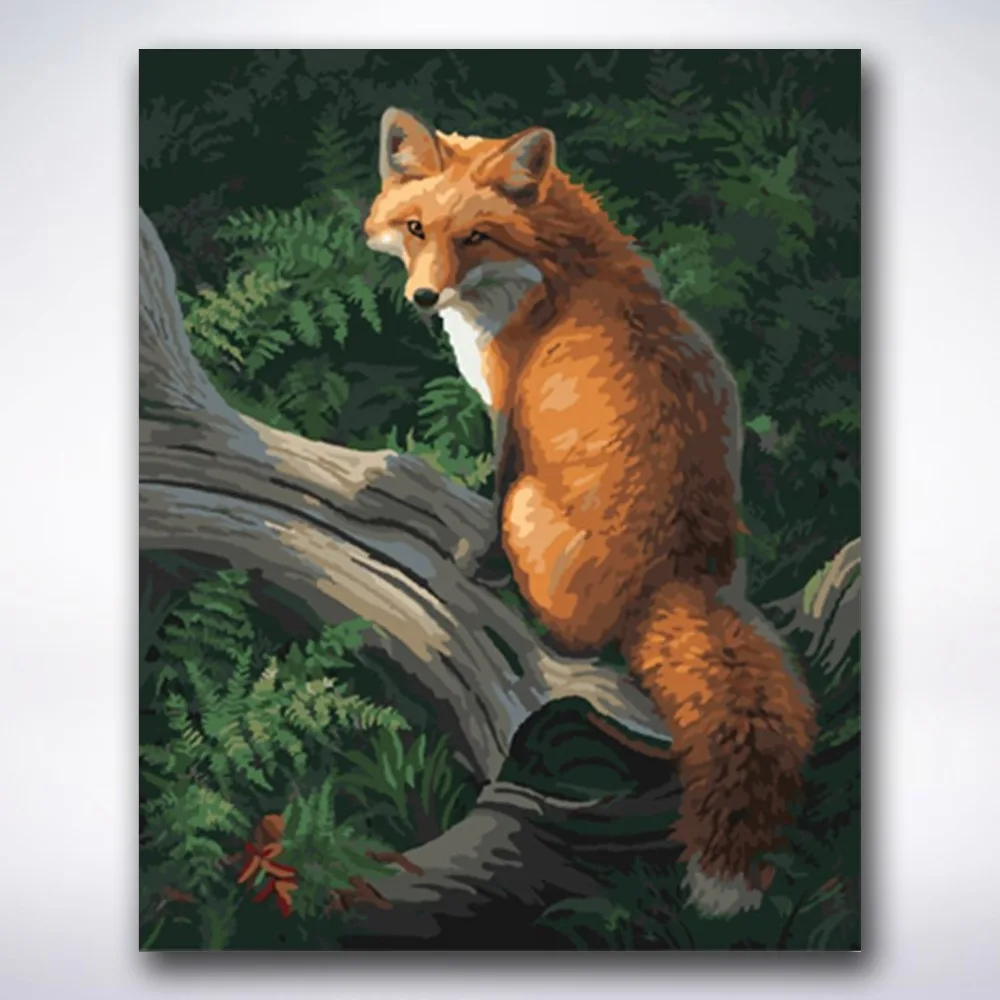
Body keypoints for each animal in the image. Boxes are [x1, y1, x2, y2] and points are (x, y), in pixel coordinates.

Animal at [364, 107, 817, 917]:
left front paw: (478, 567)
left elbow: (491, 496)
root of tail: (679, 582)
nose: (423, 299)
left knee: (570, 634)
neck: (554, 269)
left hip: (532, 513)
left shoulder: (510, 415)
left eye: (474, 237)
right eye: (415, 228)